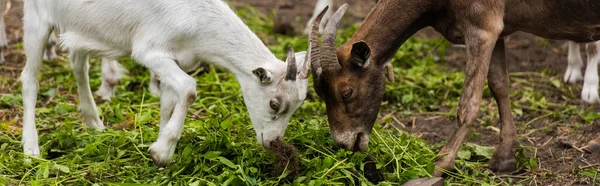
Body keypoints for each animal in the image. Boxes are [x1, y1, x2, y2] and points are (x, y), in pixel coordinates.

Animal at [21, 0, 314, 166]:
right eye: (274, 104)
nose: (273, 143)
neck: (198, 20)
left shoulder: (177, 59)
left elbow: (168, 100)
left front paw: (160, 142)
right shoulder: (149, 51)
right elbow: (188, 90)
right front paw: (161, 152)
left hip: (81, 26)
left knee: (77, 62)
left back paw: (94, 122)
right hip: (36, 19)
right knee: (29, 79)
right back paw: (31, 149)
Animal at [312, 0, 600, 177]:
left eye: (347, 92)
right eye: (319, 93)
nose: (343, 143)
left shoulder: (482, 27)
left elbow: (469, 103)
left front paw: (438, 165)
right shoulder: (498, 31)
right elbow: (499, 85)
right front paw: (504, 158)